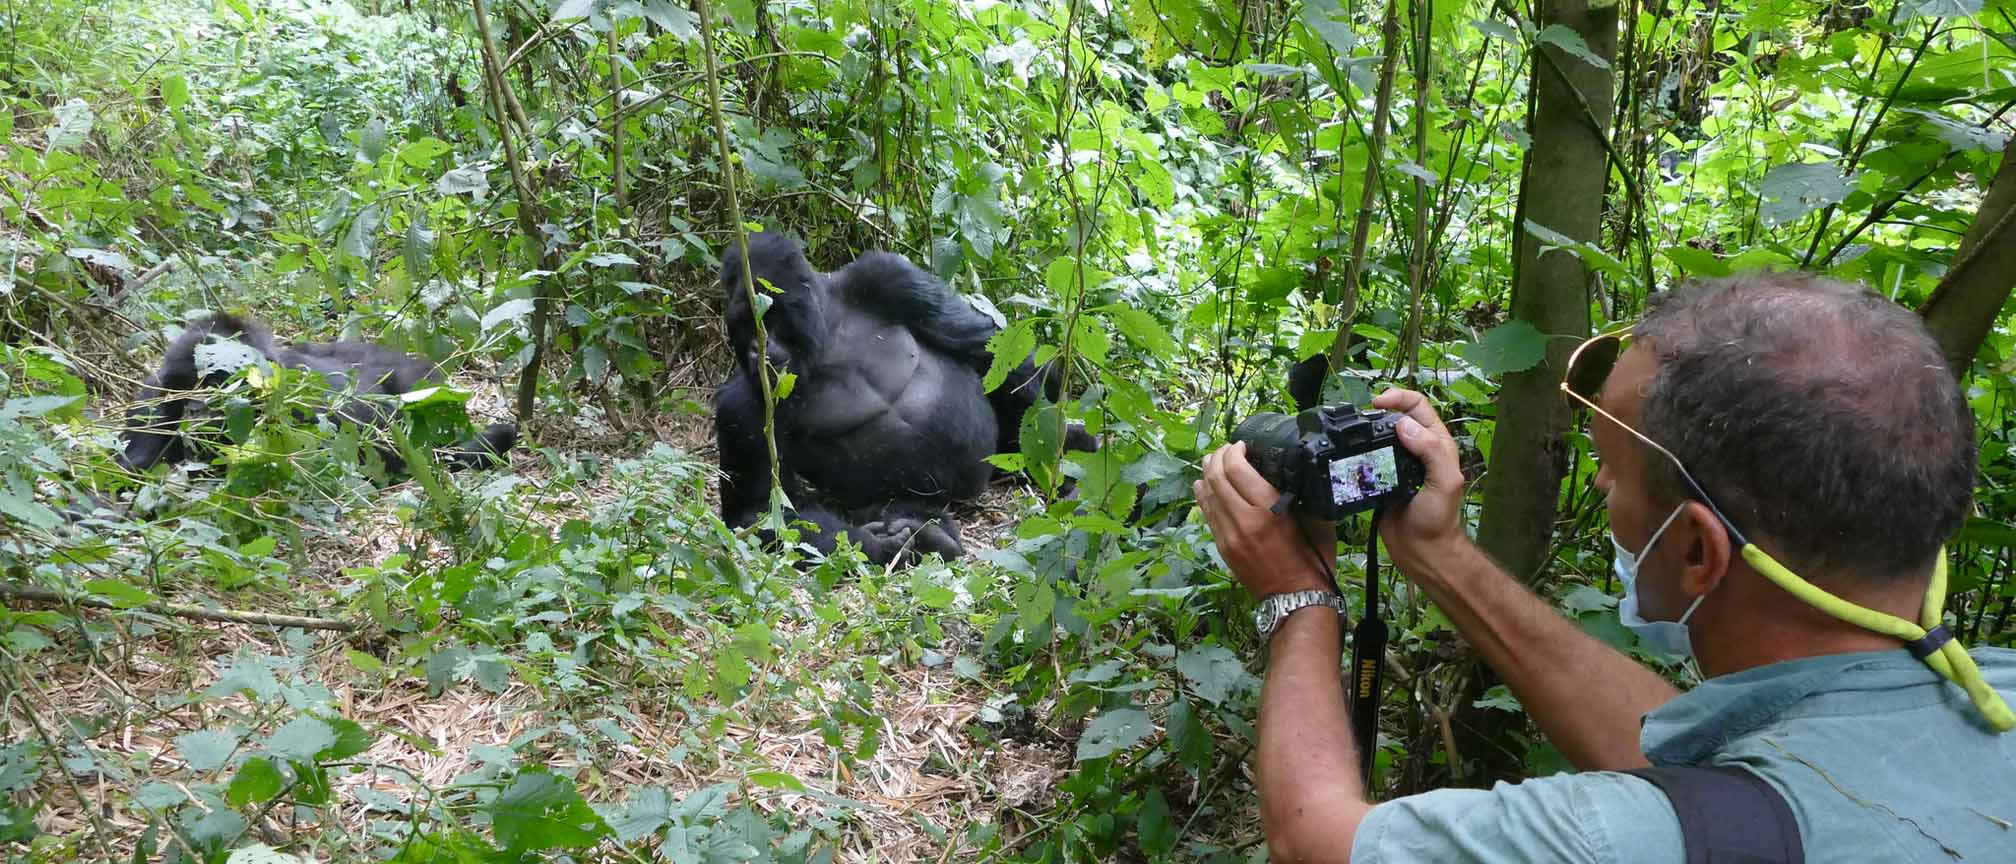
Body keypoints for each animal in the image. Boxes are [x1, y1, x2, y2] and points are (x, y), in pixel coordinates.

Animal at [709, 230, 1088, 563]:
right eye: (744, 324)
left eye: (769, 315)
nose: (756, 349)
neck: (826, 339)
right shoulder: (741, 405)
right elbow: (758, 510)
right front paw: (876, 546)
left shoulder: (886, 276)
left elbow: (990, 350)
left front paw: (1073, 446)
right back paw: (928, 536)